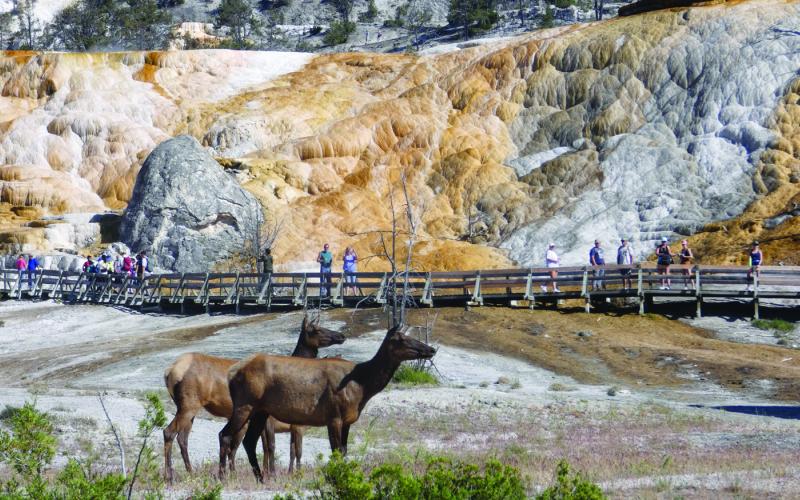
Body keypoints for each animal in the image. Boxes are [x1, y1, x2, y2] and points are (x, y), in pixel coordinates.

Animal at [162, 314, 345, 482]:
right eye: (316, 329)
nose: (341, 336)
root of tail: (169, 371)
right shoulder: (272, 419)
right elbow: (272, 446)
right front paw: (273, 474)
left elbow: (266, 447)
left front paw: (267, 473)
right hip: (190, 404)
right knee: (169, 432)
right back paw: (170, 476)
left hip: (188, 407)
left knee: (183, 438)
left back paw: (191, 472)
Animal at [218, 324, 436, 482]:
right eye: (401, 339)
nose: (431, 349)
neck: (362, 386)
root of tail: (231, 374)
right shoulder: (333, 416)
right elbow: (336, 451)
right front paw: (334, 478)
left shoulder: (347, 420)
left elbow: (344, 451)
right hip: (244, 404)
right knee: (225, 435)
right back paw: (223, 477)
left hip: (260, 410)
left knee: (248, 441)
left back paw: (261, 478)